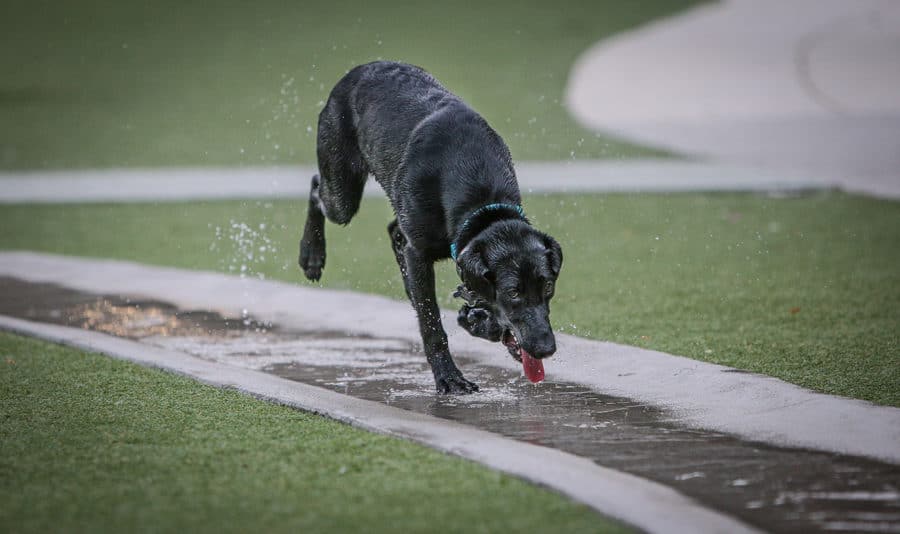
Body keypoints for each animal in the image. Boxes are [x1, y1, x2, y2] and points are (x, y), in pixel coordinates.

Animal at [298, 62, 560, 396]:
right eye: (513, 292)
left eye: (548, 287)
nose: (546, 348)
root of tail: (360, 68)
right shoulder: (420, 253)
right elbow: (432, 323)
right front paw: (449, 377)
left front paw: (477, 320)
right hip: (342, 193)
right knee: (316, 187)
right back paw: (311, 256)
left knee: (393, 230)